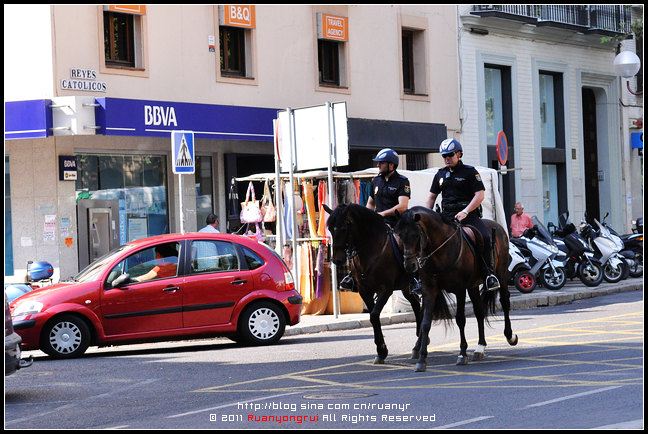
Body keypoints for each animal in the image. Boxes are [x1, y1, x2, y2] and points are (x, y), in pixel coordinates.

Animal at [322, 203, 422, 362]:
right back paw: (418, 345)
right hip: (406, 287)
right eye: (331, 228)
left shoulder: (385, 289)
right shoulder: (365, 290)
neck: (372, 249)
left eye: (344, 227)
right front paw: (381, 351)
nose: (337, 260)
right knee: (416, 305)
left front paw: (381, 349)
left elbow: (374, 315)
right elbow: (372, 316)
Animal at [392, 205, 520, 372]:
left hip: (502, 276)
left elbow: (460, 319)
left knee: (504, 302)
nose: (409, 265)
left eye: (416, 235)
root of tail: (497, 226)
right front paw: (421, 359)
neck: (441, 249)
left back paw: (510, 336)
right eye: (399, 235)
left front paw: (462, 354)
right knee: (479, 312)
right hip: (473, 285)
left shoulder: (459, 289)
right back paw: (480, 348)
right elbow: (425, 323)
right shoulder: (429, 290)